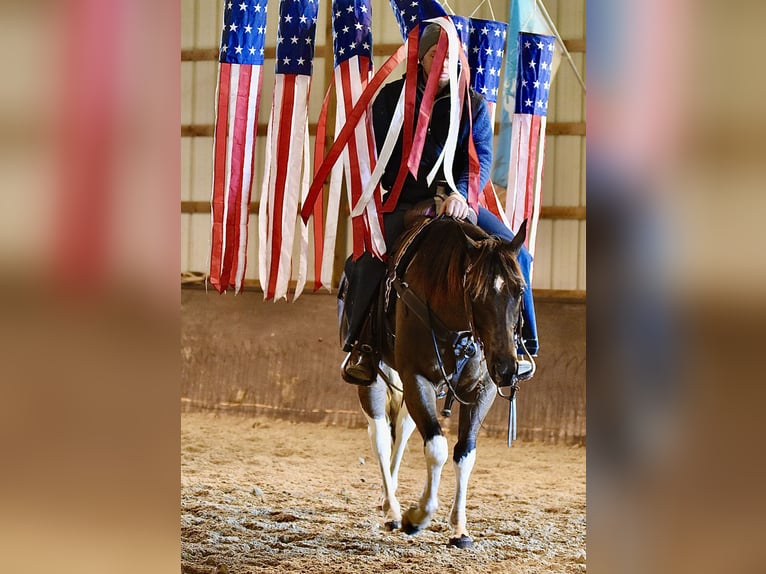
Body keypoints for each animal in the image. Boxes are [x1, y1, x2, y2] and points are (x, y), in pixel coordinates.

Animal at [344, 215, 530, 548]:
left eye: (519, 290)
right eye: (475, 293)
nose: (506, 368)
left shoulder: (482, 389)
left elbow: (465, 453)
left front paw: (459, 529)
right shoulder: (417, 378)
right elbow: (437, 448)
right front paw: (417, 516)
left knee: (402, 431)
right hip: (373, 379)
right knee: (380, 437)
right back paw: (392, 510)